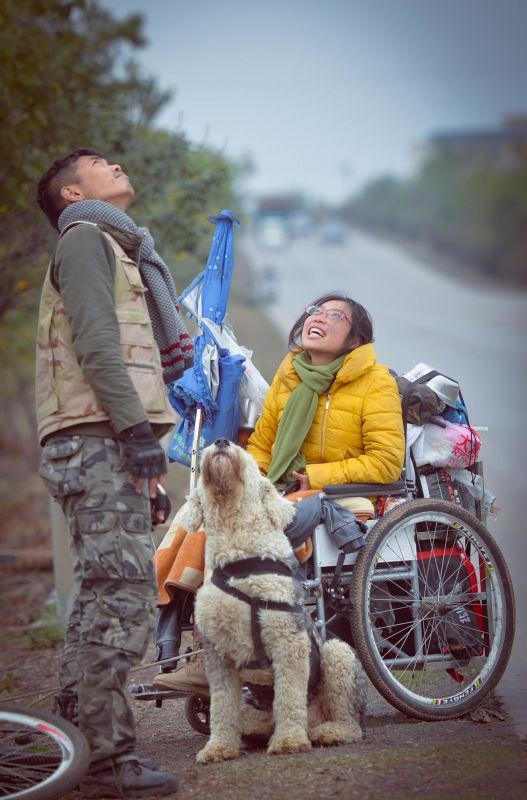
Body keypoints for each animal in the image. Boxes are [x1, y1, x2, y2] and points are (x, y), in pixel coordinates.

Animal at [174, 440, 368, 764]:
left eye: (246, 453)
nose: (222, 441)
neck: (240, 562)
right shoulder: (218, 651)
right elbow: (221, 707)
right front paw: (218, 748)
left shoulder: (288, 641)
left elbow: (289, 696)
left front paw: (289, 742)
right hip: (253, 710)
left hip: (337, 655)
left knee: (349, 719)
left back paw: (328, 732)